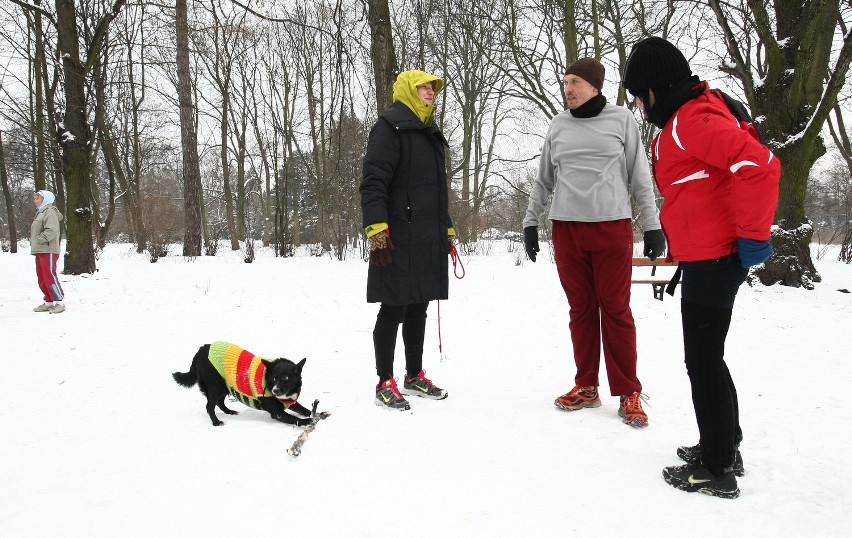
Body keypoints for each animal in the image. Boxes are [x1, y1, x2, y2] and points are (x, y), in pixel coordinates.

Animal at [173, 342, 316, 426]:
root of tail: (200, 350)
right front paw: (308, 421)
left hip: (224, 386)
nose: (275, 391)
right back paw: (216, 422)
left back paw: (229, 411)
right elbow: (294, 419)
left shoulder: (288, 401)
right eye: (274, 378)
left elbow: (303, 409)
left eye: (286, 378)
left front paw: (316, 414)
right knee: (210, 406)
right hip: (216, 385)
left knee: (220, 402)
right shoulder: (277, 412)